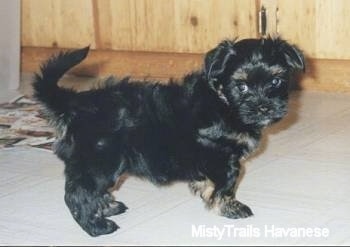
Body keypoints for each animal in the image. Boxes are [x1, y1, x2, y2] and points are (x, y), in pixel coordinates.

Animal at [34, 36, 304, 235]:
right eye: (242, 86)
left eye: (276, 81)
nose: (264, 108)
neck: (223, 102)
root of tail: (75, 104)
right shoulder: (223, 158)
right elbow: (227, 185)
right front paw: (230, 207)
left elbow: (208, 182)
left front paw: (205, 192)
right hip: (101, 161)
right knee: (77, 194)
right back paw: (97, 227)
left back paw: (107, 207)